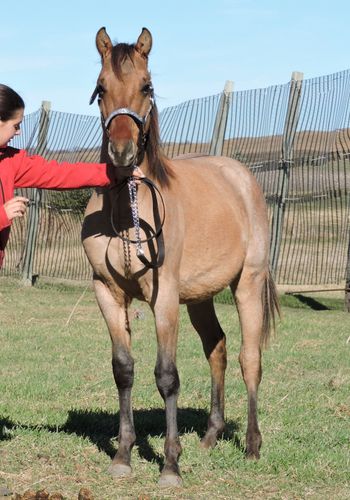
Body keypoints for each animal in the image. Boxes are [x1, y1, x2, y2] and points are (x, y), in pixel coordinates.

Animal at [82, 26, 278, 484]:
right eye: (101, 88)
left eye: (147, 86)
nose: (122, 152)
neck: (129, 207)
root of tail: (240, 176)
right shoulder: (107, 293)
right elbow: (124, 369)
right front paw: (123, 455)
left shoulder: (164, 297)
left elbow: (167, 376)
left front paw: (170, 464)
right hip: (201, 298)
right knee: (217, 348)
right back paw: (210, 436)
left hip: (247, 284)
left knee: (250, 358)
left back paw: (252, 446)